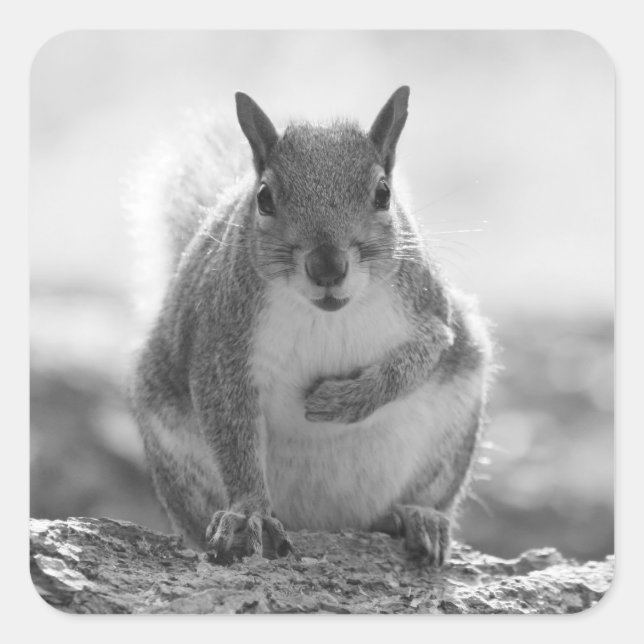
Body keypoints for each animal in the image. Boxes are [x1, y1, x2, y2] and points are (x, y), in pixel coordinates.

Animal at [129, 86, 493, 567]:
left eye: (383, 193)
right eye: (264, 197)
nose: (327, 267)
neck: (327, 315)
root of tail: (328, 524)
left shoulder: (429, 311)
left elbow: (419, 358)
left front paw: (341, 402)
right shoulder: (221, 343)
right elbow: (232, 433)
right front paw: (248, 513)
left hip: (452, 433)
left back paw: (417, 516)